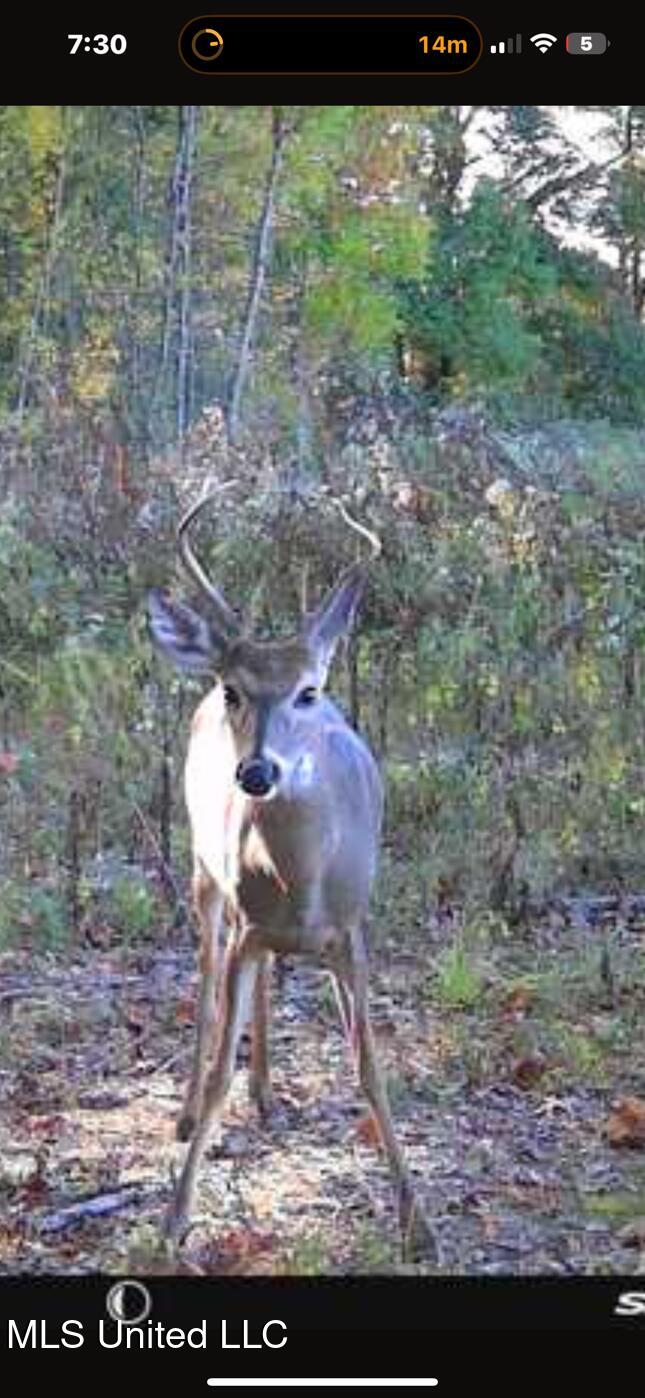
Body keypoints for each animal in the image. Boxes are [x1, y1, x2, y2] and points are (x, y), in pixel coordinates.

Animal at [148, 492, 433, 1258]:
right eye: (234, 690)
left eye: (309, 691)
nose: (256, 772)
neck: (300, 885)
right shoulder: (248, 920)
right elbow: (220, 1064)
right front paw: (175, 1217)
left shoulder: (351, 929)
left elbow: (368, 1066)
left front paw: (417, 1223)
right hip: (202, 874)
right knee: (206, 981)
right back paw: (191, 1112)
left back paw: (270, 1093)